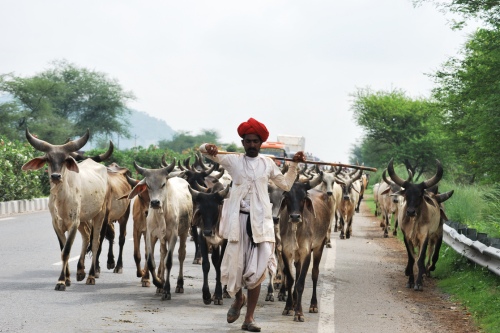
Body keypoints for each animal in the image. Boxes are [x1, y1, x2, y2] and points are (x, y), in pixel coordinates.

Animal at [22, 128, 108, 290]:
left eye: (64, 160)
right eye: (48, 159)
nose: (55, 176)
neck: (62, 198)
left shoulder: (73, 223)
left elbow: (66, 251)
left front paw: (61, 281)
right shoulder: (57, 224)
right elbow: (62, 249)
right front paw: (66, 279)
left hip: (99, 214)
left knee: (95, 243)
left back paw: (91, 276)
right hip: (83, 219)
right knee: (86, 237)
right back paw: (80, 272)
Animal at [127, 158, 193, 298]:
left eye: (163, 184)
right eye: (148, 185)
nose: (155, 202)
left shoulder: (173, 235)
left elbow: (169, 261)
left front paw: (166, 289)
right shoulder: (150, 235)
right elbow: (151, 261)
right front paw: (158, 283)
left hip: (184, 232)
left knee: (181, 254)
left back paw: (179, 284)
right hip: (162, 238)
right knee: (162, 254)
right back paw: (160, 285)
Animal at [278, 172, 332, 320]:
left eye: (303, 197)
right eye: (287, 196)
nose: (295, 217)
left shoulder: (306, 252)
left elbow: (301, 283)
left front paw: (299, 313)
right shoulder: (286, 251)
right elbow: (291, 280)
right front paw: (288, 307)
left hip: (319, 247)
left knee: (314, 274)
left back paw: (313, 305)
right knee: (296, 272)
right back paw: (295, 301)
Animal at [384, 157, 452, 290]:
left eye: (420, 195)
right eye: (406, 194)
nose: (410, 212)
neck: (414, 222)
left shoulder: (425, 237)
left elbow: (421, 259)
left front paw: (419, 283)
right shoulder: (406, 237)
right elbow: (411, 259)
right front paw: (410, 281)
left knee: (430, 255)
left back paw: (427, 271)